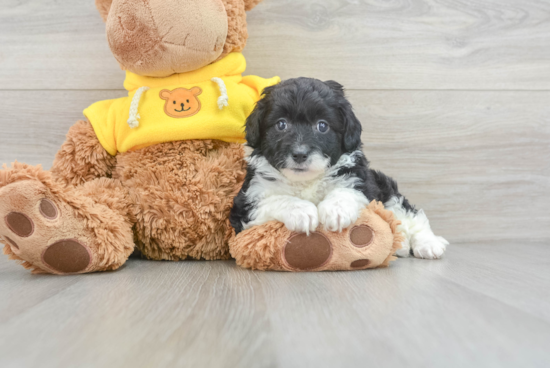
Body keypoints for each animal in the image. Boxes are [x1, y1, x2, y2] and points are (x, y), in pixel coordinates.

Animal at [231, 77, 450, 258]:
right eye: (281, 124)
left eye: (322, 126)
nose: (300, 154)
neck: (306, 181)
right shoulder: (245, 204)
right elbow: (278, 199)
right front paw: (301, 211)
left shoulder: (360, 181)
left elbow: (345, 191)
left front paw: (336, 211)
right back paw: (402, 246)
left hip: (385, 187)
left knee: (409, 213)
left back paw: (428, 244)